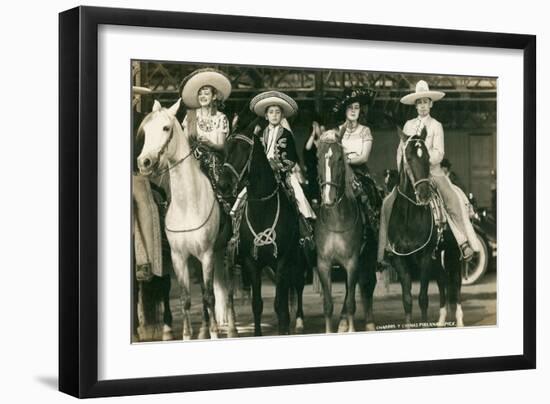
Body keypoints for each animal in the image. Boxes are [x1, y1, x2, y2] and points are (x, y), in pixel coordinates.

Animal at [137, 99, 238, 340]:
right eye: (146, 130)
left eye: (166, 128)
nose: (144, 162)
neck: (187, 206)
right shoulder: (179, 257)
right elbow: (186, 299)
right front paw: (186, 335)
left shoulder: (207, 254)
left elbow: (209, 296)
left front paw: (214, 333)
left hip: (226, 251)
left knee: (228, 290)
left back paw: (231, 328)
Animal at [219, 115, 306, 336]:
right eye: (225, 149)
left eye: (243, 149)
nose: (223, 185)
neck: (262, 209)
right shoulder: (252, 263)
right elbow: (257, 304)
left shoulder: (282, 261)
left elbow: (279, 304)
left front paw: (284, 328)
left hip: (299, 258)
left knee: (298, 285)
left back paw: (299, 322)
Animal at [314, 131, 380, 332]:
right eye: (317, 158)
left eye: (340, 158)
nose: (328, 198)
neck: (336, 220)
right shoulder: (324, 263)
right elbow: (328, 305)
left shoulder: (352, 262)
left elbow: (351, 301)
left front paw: (351, 328)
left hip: (368, 255)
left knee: (367, 284)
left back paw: (369, 322)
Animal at [388, 128, 466, 326]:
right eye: (408, 157)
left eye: (427, 157)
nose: (424, 194)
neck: (408, 218)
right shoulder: (400, 259)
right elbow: (407, 299)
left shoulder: (424, 258)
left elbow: (423, 298)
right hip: (437, 257)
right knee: (442, 281)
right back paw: (441, 320)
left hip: (453, 253)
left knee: (455, 282)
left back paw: (459, 320)